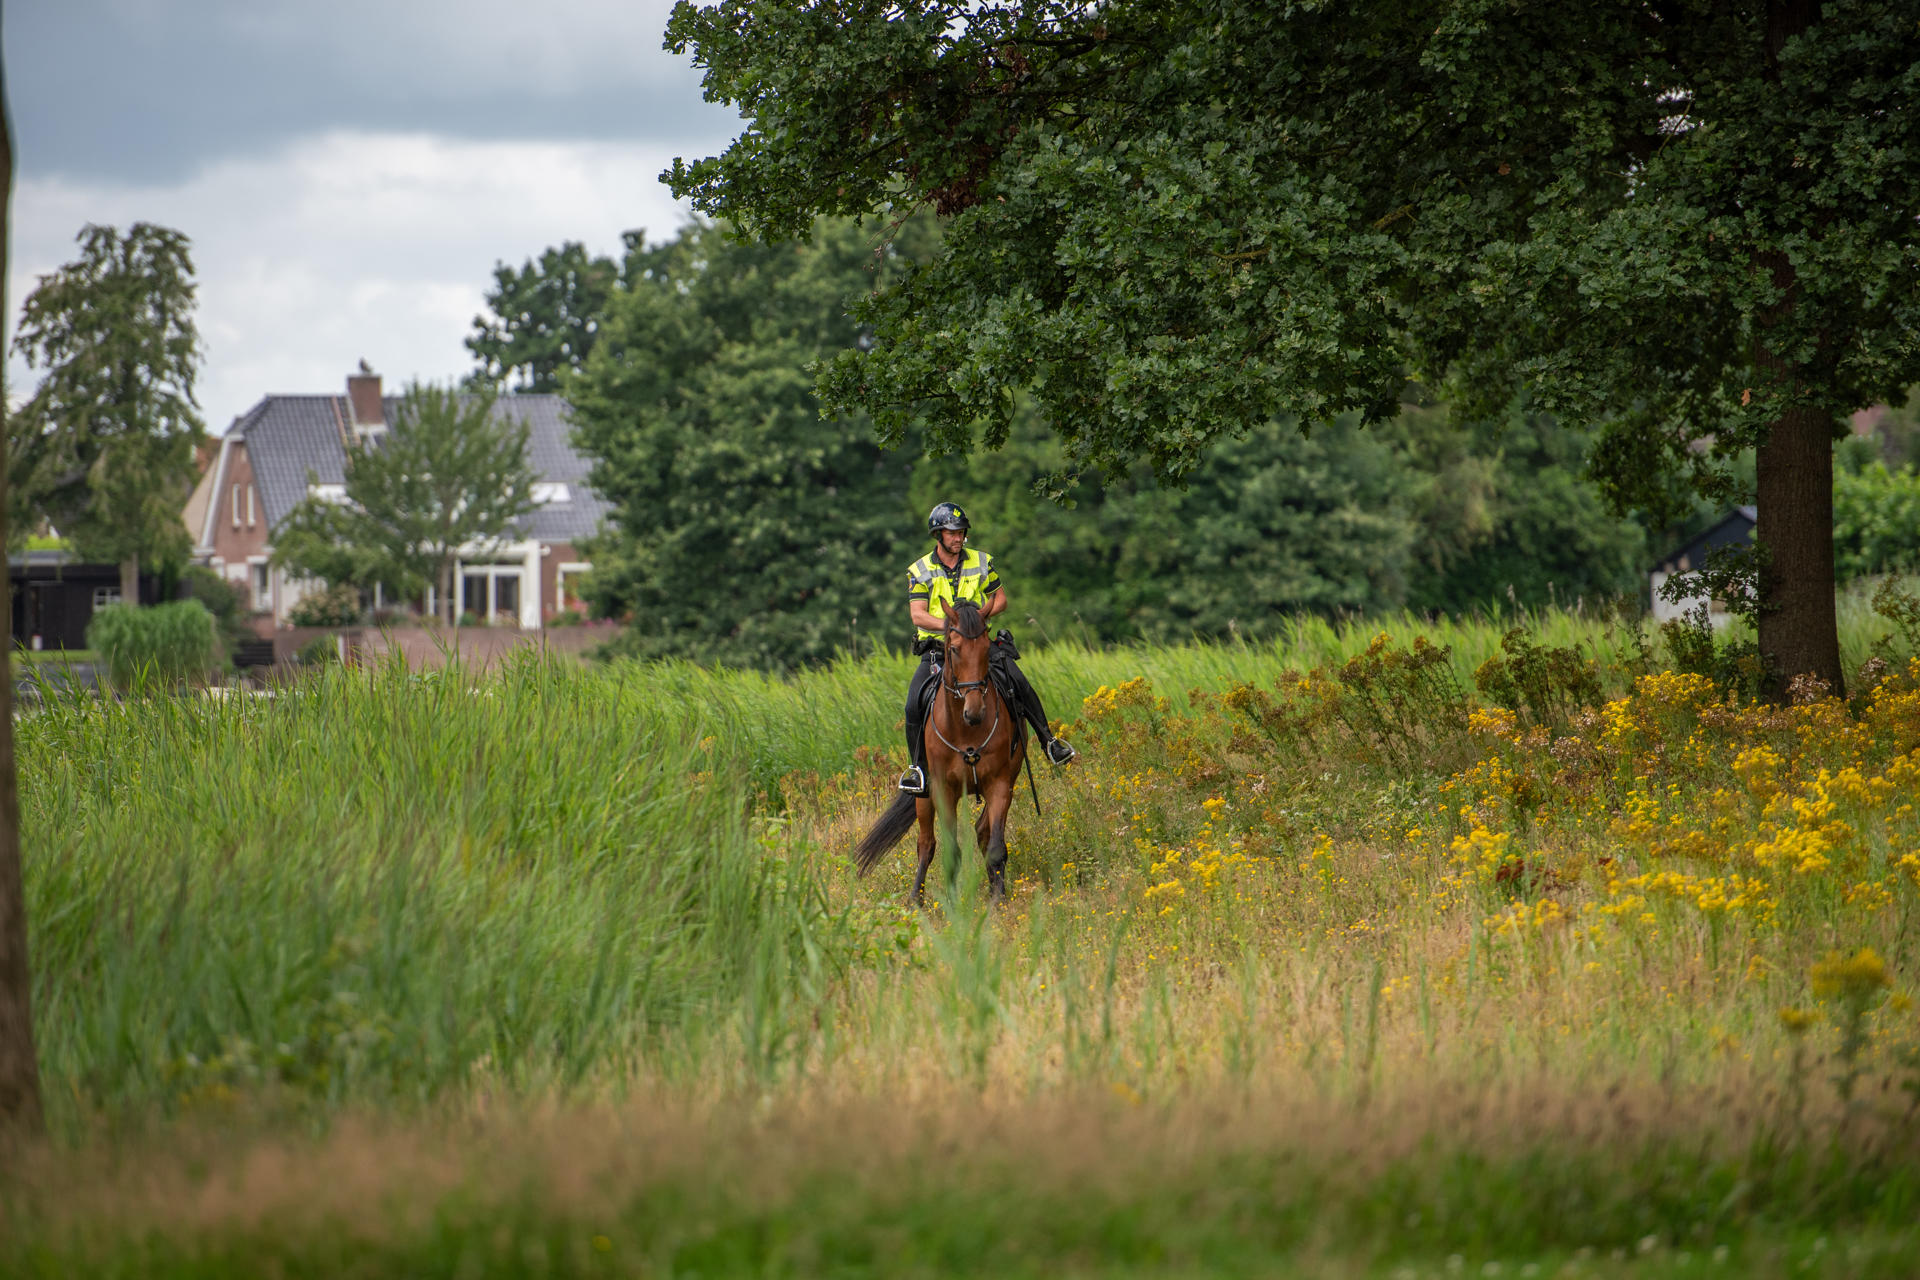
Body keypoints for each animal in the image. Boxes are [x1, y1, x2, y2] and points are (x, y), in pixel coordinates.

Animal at [853, 600, 1027, 904]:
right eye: (954, 648)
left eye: (986, 648)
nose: (974, 711)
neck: (966, 729)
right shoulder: (943, 790)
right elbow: (950, 851)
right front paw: (954, 904)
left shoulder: (1000, 784)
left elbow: (995, 846)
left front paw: (998, 899)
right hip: (923, 793)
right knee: (926, 843)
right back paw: (915, 899)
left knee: (983, 831)